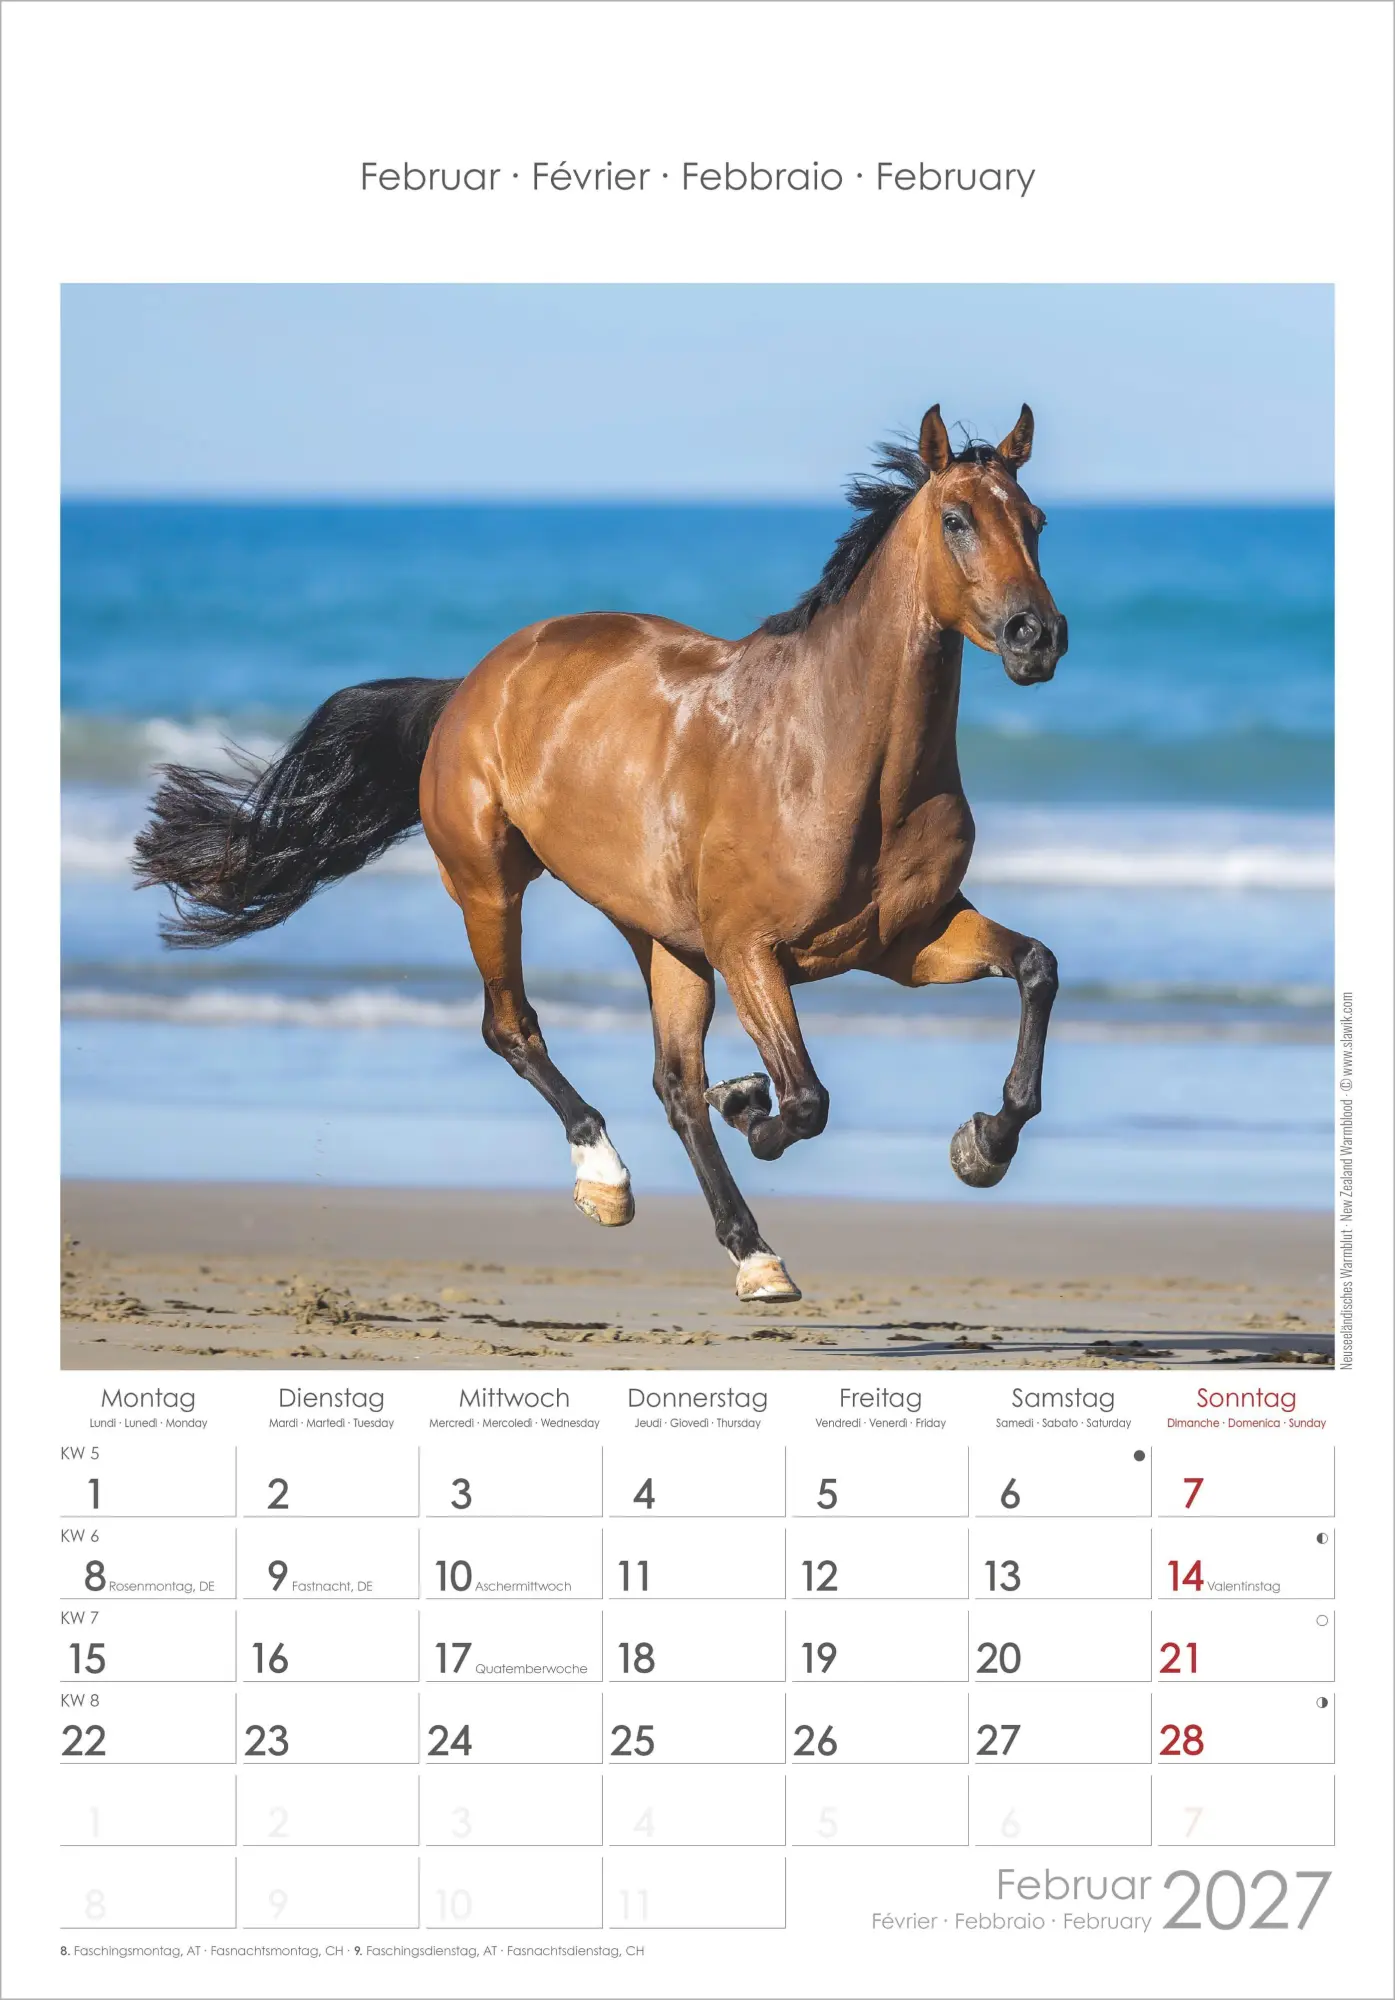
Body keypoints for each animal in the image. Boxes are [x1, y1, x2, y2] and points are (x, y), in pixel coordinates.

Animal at [135, 402, 1067, 1305]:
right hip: (491, 886)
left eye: (1035, 521)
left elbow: (1034, 967)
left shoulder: (902, 942)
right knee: (512, 1028)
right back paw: (608, 1178)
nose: (1036, 635)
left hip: (659, 937)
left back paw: (753, 1252)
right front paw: (753, 1109)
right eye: (955, 520)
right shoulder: (750, 949)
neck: (836, 756)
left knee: (673, 1083)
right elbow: (805, 1102)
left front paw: (982, 1144)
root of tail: (472, 685)